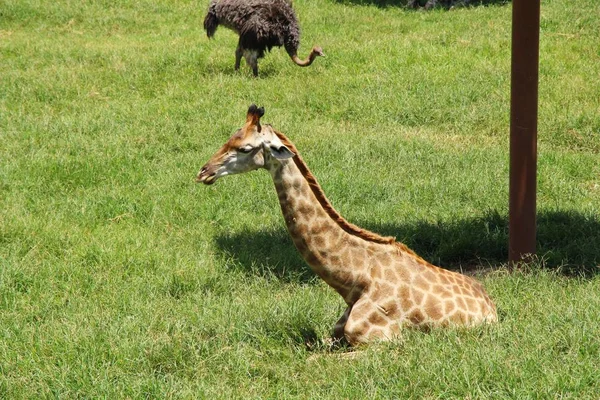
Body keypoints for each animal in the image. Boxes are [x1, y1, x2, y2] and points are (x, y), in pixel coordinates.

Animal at [197, 104, 496, 346]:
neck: (354, 282)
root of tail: (492, 309)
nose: (203, 172)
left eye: (245, 148)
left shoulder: (382, 342)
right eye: (229, 138)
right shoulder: (335, 334)